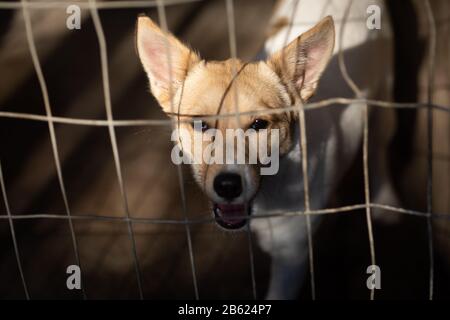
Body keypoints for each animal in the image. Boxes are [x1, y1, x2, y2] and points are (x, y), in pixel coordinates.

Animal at [136, 0, 398, 300]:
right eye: (200, 124)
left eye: (259, 124)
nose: (228, 185)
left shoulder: (291, 256)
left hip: (384, 107)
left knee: (378, 150)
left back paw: (386, 200)